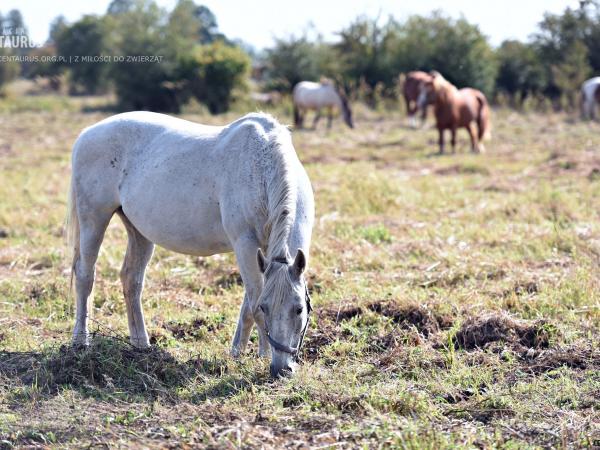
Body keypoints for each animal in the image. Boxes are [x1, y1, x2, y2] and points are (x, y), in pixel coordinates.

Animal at [66, 111, 316, 376]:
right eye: (268, 308)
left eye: (299, 308)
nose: (281, 369)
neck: (261, 168)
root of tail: (87, 134)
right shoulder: (245, 246)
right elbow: (254, 303)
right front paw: (260, 356)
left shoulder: (261, 255)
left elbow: (248, 305)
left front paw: (238, 353)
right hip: (94, 219)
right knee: (85, 276)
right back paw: (80, 341)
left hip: (139, 232)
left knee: (131, 280)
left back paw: (141, 345)